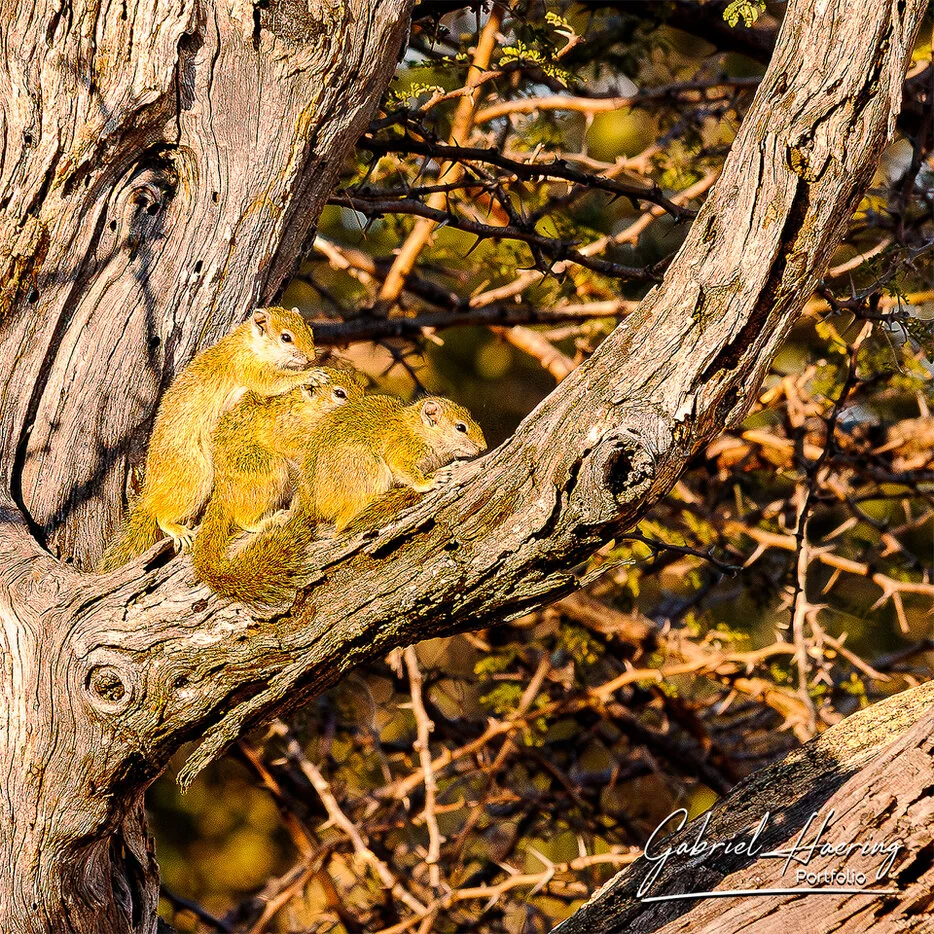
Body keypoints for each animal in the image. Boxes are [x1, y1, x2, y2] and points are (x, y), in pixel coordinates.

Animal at [99, 306, 324, 571]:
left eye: (310, 329)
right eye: (285, 337)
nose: (311, 357)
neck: (250, 344)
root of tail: (151, 493)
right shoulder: (248, 367)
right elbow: (274, 383)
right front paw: (308, 375)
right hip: (195, 476)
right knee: (161, 515)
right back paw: (177, 528)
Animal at [191, 367, 365, 584]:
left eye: (359, 385)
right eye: (340, 393)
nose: (362, 405)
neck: (307, 408)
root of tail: (223, 493)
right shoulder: (289, 432)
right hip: (269, 467)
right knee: (243, 520)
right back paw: (269, 521)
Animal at [194, 394, 487, 603]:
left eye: (471, 417)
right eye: (460, 428)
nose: (483, 446)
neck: (417, 429)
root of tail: (311, 505)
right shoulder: (402, 451)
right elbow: (408, 472)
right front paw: (429, 482)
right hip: (368, 469)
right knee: (344, 523)